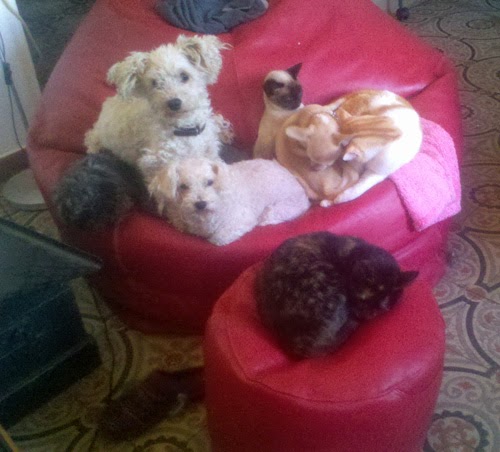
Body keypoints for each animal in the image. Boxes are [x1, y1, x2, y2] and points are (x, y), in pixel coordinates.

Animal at [147, 157, 310, 246]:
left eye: (210, 182)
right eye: (183, 186)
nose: (201, 204)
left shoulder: (242, 220)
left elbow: (217, 238)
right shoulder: (177, 218)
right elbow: (179, 223)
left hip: (278, 210)